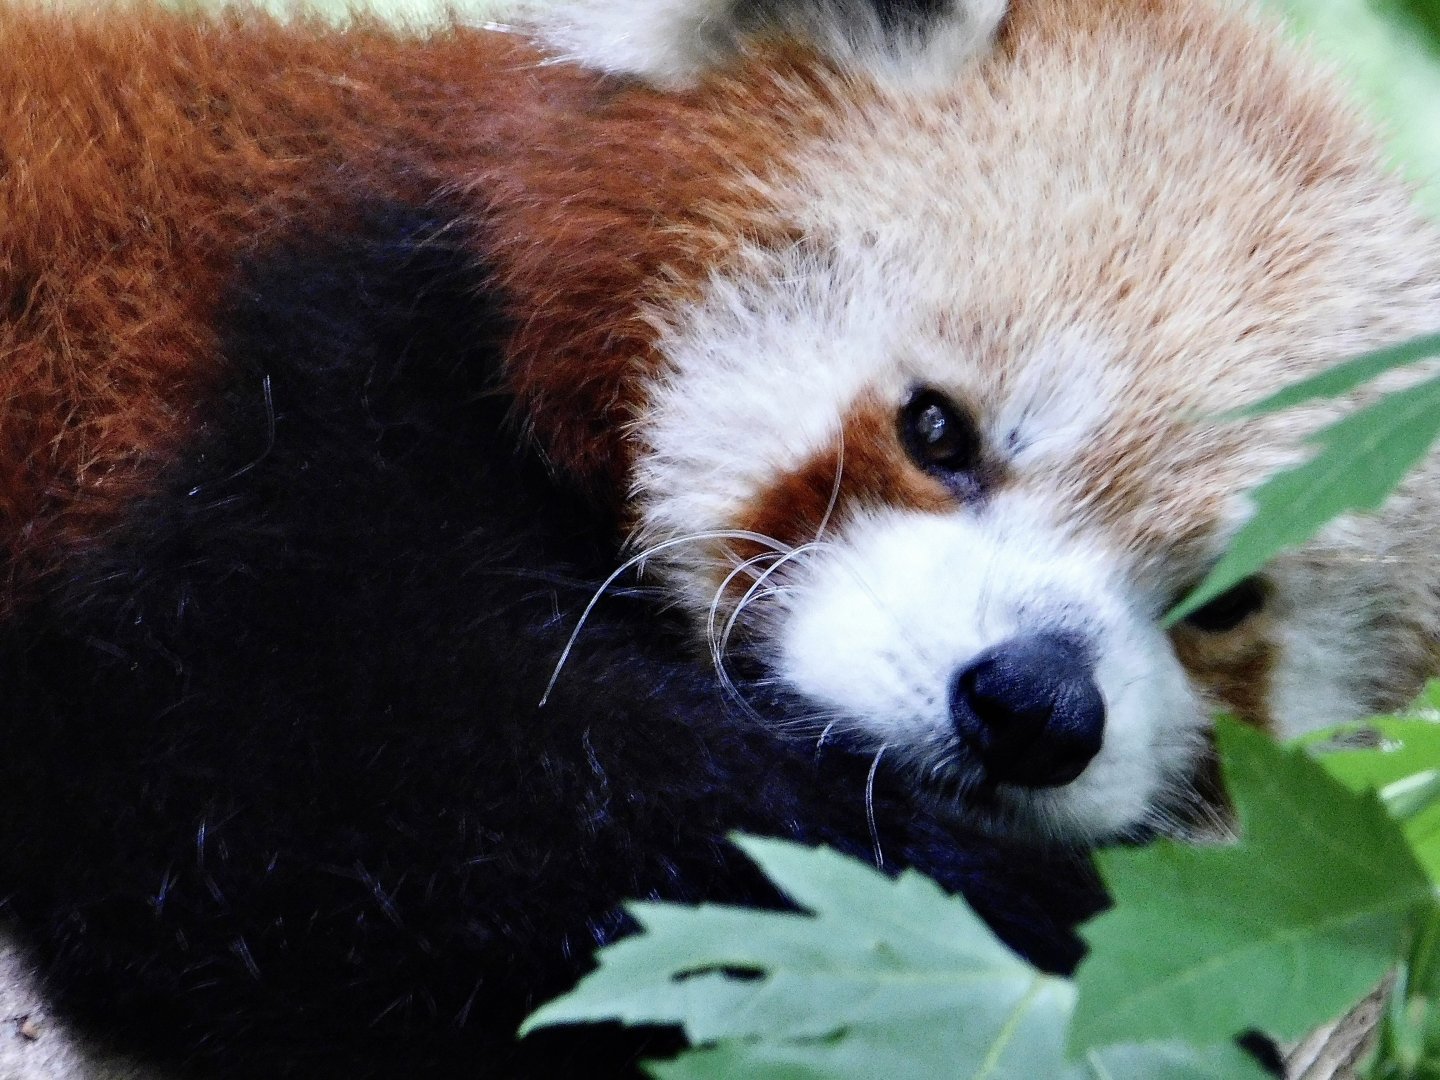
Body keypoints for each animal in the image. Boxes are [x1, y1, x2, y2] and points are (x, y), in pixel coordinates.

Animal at [0, 0, 1434, 1076]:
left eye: (1226, 601)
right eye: (937, 431)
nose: (1033, 706)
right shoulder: (258, 396)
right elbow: (349, 773)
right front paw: (1056, 922)